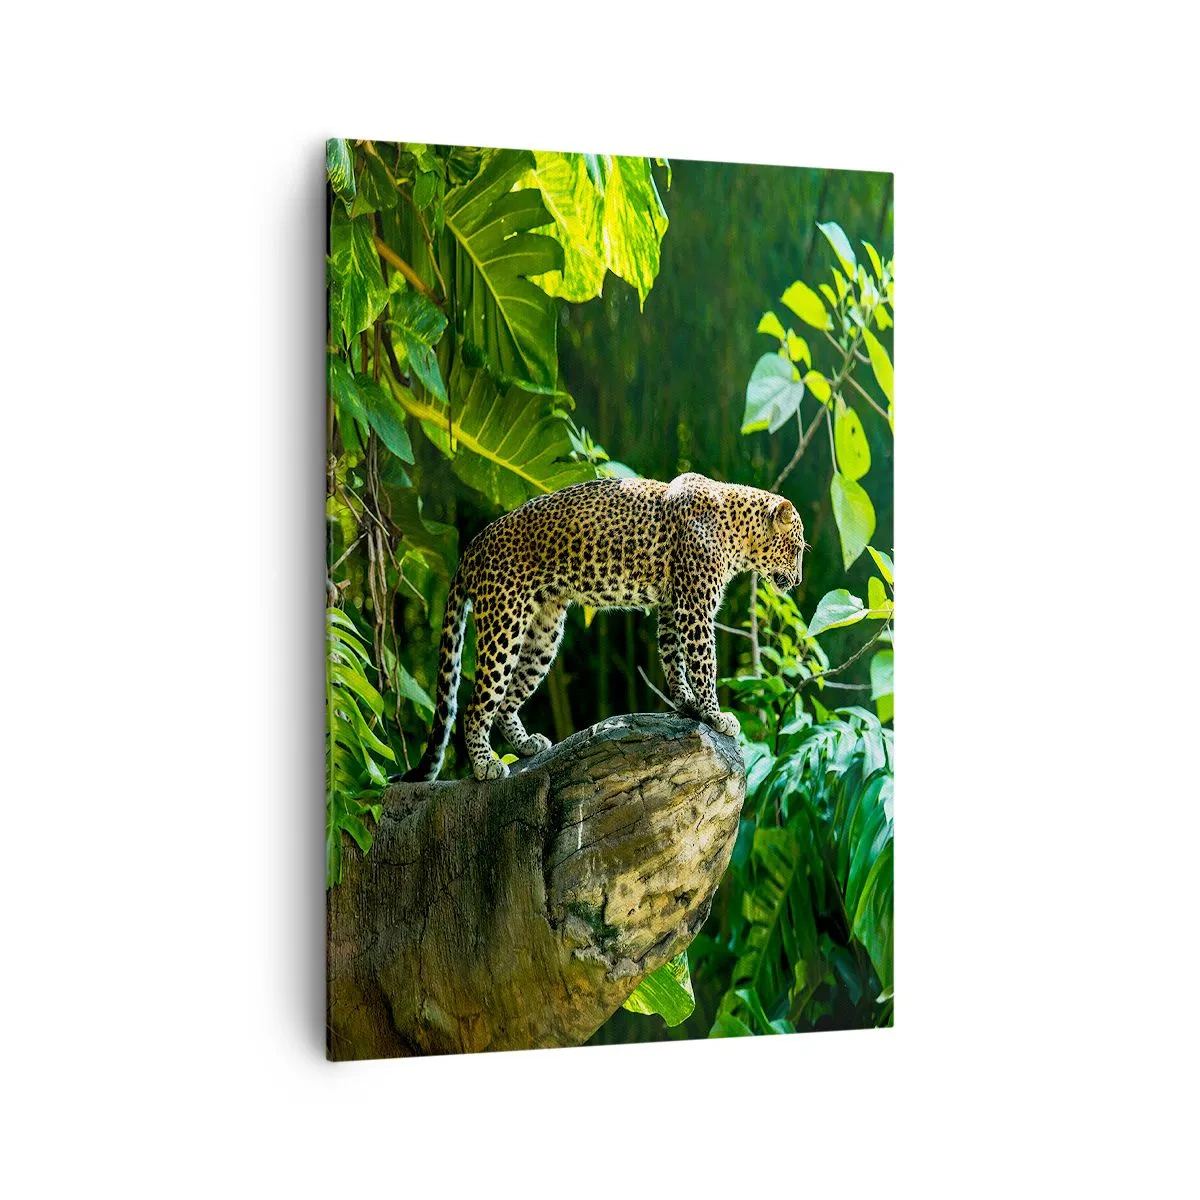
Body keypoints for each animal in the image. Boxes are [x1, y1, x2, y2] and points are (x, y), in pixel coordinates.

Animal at [403, 472, 807, 782]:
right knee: (476, 705)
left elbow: (672, 657)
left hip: (544, 634)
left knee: (506, 701)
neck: (738, 532)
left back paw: (526, 745)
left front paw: (686, 703)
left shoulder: (671, 606)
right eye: (798, 548)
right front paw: (715, 715)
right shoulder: (694, 609)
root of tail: (472, 546)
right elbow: (703, 663)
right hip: (503, 623)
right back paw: (485, 765)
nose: (800, 580)